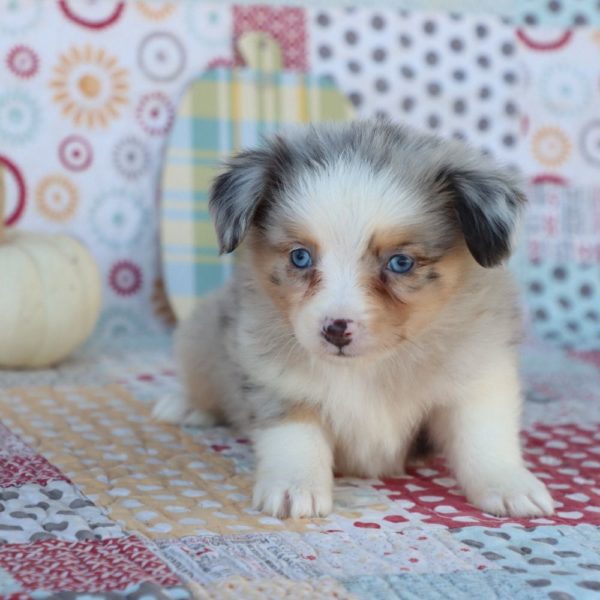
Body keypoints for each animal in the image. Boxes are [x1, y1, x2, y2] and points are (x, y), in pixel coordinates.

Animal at [154, 119, 552, 516]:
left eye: (400, 263)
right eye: (300, 256)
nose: (336, 331)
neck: (368, 367)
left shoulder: (478, 376)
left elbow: (484, 437)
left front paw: (509, 484)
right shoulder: (276, 378)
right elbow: (294, 435)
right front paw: (294, 487)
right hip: (200, 334)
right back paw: (187, 405)